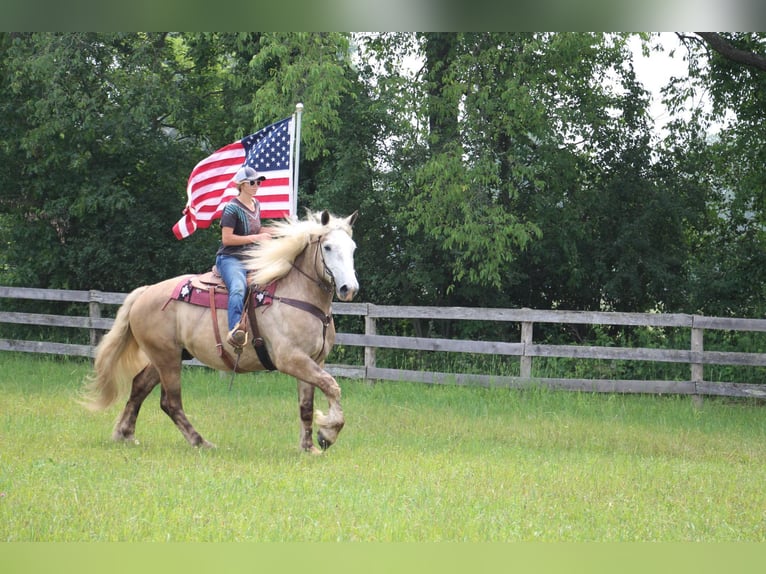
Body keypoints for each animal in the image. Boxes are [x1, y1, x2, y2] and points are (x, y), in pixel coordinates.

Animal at [79, 209, 362, 456]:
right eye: (328, 247)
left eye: (352, 248)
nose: (349, 288)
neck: (295, 296)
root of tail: (145, 292)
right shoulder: (291, 359)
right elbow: (332, 386)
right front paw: (328, 434)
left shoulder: (313, 360)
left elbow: (307, 405)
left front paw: (309, 447)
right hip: (166, 358)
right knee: (171, 402)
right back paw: (200, 442)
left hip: (166, 356)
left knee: (140, 386)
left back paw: (124, 434)